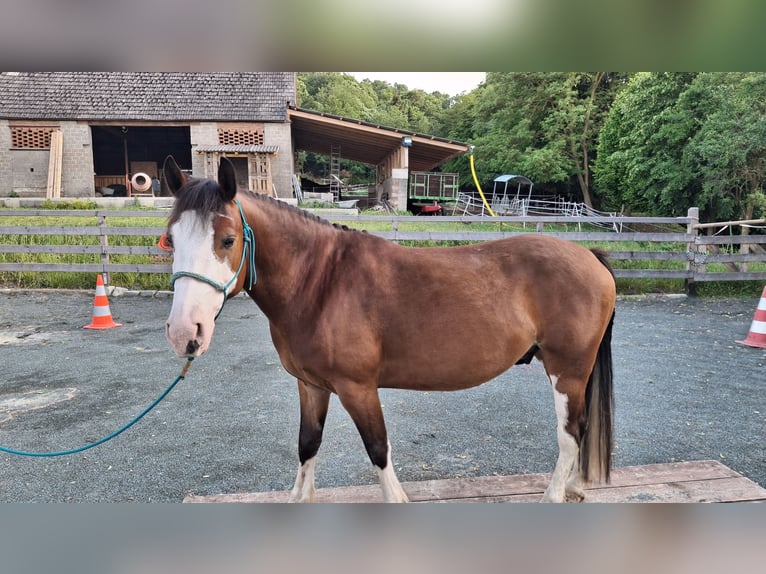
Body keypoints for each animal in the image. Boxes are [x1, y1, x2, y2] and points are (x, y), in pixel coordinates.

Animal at [162, 156, 616, 503]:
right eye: (170, 239)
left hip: (567, 371)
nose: (184, 332)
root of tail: (590, 257)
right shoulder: (311, 386)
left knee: (570, 434)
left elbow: (378, 448)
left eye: (227, 239)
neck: (320, 282)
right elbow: (308, 445)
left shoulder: (357, 388)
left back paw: (554, 494)